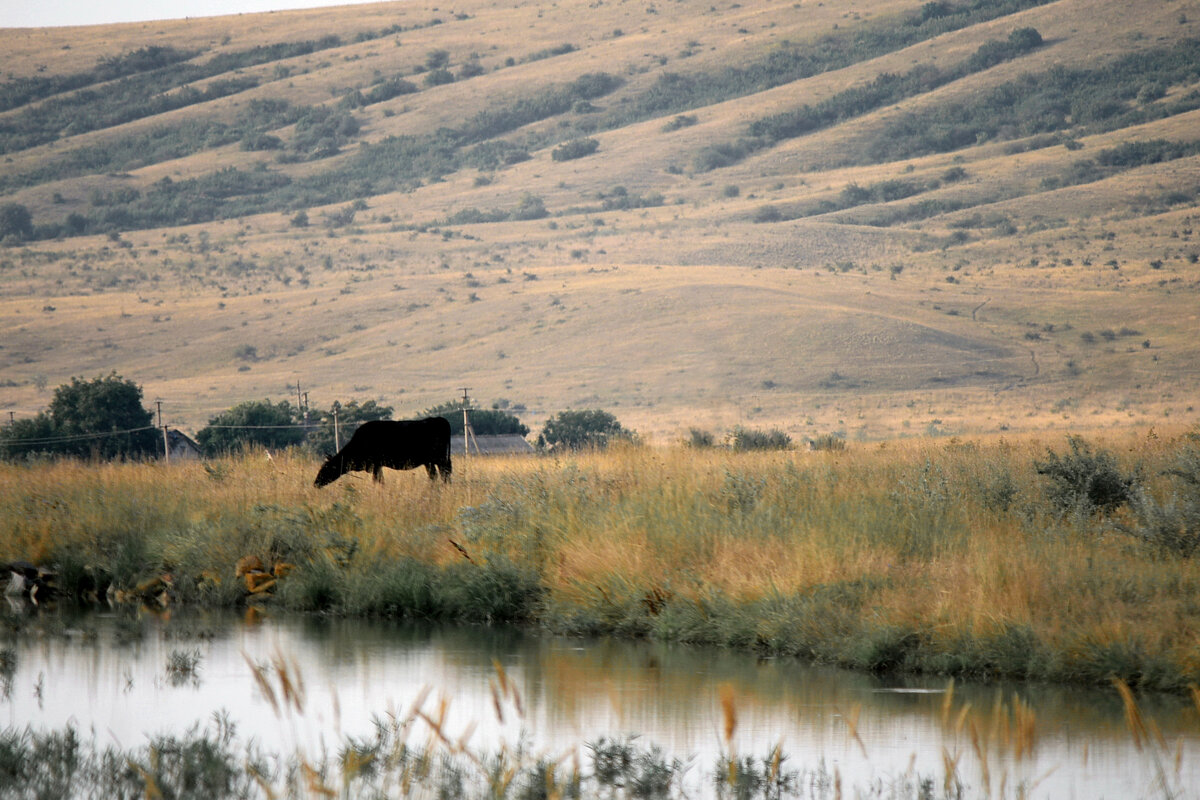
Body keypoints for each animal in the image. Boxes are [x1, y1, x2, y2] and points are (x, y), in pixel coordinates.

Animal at [312, 419, 451, 489]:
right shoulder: (377, 466)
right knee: (435, 475)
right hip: (429, 462)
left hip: (440, 459)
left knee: (445, 473)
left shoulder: (375, 465)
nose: (315, 483)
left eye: (325, 469)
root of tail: (440, 419)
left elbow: (378, 481)